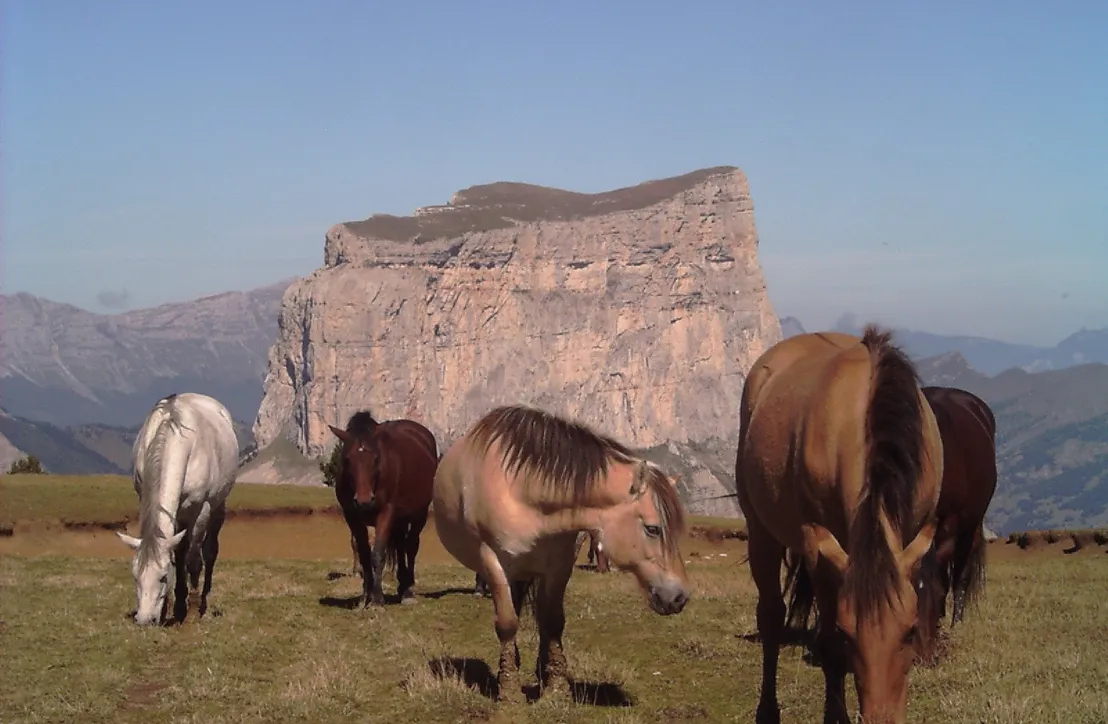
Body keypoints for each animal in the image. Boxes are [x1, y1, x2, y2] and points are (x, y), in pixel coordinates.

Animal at [115, 393, 240, 626]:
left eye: (163, 576)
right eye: (135, 577)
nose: (145, 620)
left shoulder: (201, 511)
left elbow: (193, 561)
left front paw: (191, 611)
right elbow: (178, 556)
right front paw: (171, 607)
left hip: (218, 506)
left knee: (209, 552)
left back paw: (202, 599)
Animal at [328, 410, 438, 606]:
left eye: (376, 458)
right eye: (347, 459)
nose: (364, 501)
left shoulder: (386, 512)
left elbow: (378, 553)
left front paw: (377, 599)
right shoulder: (352, 516)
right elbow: (364, 553)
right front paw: (365, 596)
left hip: (420, 513)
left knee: (411, 546)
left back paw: (408, 591)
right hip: (400, 519)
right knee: (401, 545)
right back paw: (402, 586)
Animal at [433, 404, 690, 703]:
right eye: (652, 529)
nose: (680, 597)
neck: (523, 490)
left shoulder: (560, 563)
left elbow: (553, 621)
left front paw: (556, 687)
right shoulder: (492, 561)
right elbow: (507, 623)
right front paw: (509, 690)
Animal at [736, 326, 944, 724]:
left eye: (910, 632)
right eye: (850, 636)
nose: (881, 719)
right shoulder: (820, 549)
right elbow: (829, 645)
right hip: (761, 531)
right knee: (771, 615)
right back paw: (767, 710)